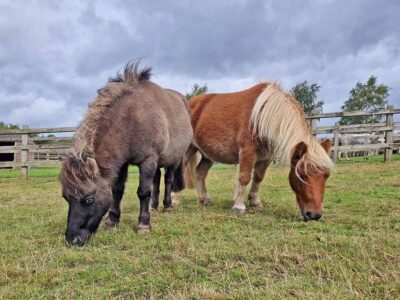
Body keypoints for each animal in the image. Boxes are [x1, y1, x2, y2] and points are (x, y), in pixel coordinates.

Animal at [58, 61, 194, 246]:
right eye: (66, 198)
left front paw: (143, 224)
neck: (132, 116)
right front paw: (112, 221)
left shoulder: (148, 160)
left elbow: (143, 191)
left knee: (168, 180)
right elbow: (117, 190)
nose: (72, 239)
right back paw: (154, 207)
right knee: (157, 180)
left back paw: (167, 206)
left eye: (88, 199)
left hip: (173, 159)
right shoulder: (123, 162)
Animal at [183, 82, 332, 220]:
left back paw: (204, 199)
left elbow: (258, 177)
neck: (261, 117)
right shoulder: (247, 152)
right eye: (302, 175)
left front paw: (254, 202)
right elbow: (244, 178)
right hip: (188, 149)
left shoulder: (266, 157)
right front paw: (238, 206)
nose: (315, 215)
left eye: (327, 175)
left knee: (200, 172)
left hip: (207, 155)